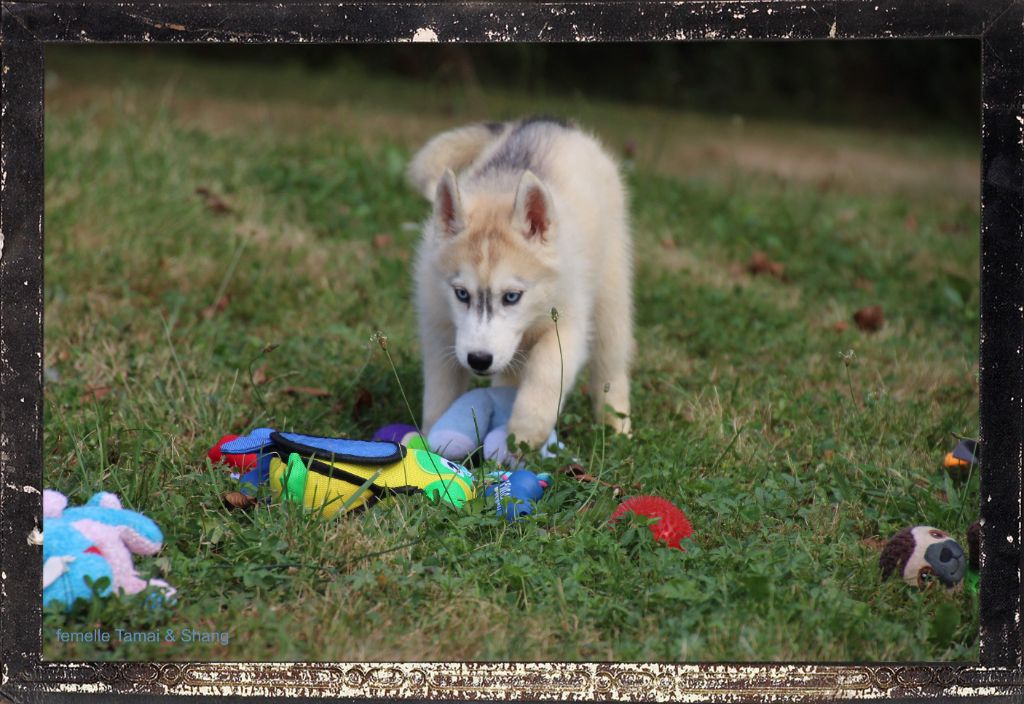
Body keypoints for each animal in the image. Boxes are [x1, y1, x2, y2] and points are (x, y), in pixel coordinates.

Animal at [407, 114, 630, 446]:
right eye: (461, 294)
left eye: (512, 296)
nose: (479, 360)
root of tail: (548, 120)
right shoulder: (439, 328)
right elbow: (440, 392)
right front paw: (429, 441)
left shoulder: (568, 323)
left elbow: (547, 371)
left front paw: (525, 433)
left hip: (610, 294)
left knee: (610, 360)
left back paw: (617, 424)